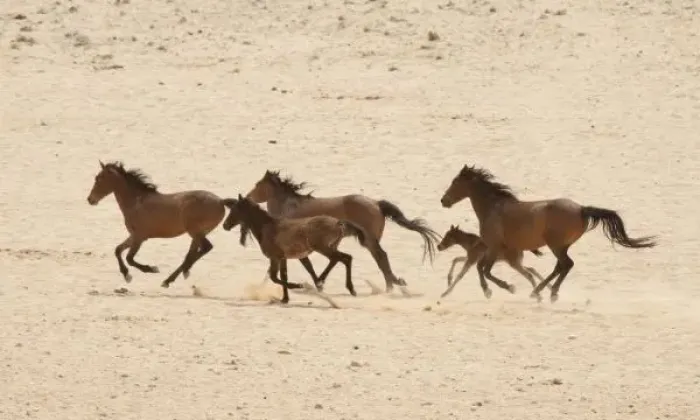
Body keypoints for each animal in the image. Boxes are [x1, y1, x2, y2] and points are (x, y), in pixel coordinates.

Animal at [86, 161, 234, 288]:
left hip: (195, 231)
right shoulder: (133, 236)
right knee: (194, 253)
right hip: (198, 234)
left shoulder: (139, 237)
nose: (90, 199)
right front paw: (126, 274)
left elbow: (129, 258)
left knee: (204, 248)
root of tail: (220, 201)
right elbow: (117, 250)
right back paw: (178, 275)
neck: (135, 202)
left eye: (99, 179)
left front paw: (151, 269)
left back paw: (172, 277)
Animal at [222, 195, 369, 304]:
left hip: (323, 248)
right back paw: (325, 283)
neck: (268, 227)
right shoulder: (283, 258)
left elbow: (275, 277)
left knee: (345, 258)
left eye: (235, 210)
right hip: (329, 247)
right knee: (339, 259)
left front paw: (299, 286)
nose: (225, 225)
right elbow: (283, 275)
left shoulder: (275, 258)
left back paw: (347, 288)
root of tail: (338, 223)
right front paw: (285, 299)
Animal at [245, 170, 441, 293]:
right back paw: (394, 284)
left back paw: (391, 287)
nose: (247, 198)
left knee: (381, 257)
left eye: (258, 184)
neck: (289, 207)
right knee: (380, 258)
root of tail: (376, 203)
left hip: (368, 240)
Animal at [440, 165, 657, 302]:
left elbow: (484, 270)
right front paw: (491, 290)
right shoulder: (493, 249)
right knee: (561, 266)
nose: (444, 201)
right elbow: (480, 269)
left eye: (455, 182)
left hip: (555, 245)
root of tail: (581, 209)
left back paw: (546, 293)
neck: (493, 208)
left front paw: (504, 288)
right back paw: (542, 291)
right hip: (561, 246)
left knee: (565, 265)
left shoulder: (494, 247)